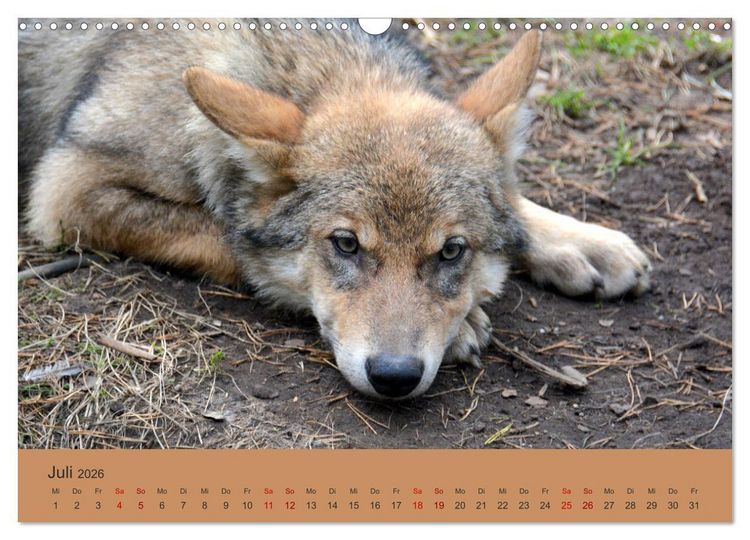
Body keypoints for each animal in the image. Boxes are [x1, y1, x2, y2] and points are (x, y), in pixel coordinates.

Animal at [19, 19, 651, 399]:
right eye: (346, 244)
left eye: (451, 251)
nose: (395, 377)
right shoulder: (69, 187)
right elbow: (230, 238)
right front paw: (467, 323)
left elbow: (518, 206)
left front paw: (582, 241)